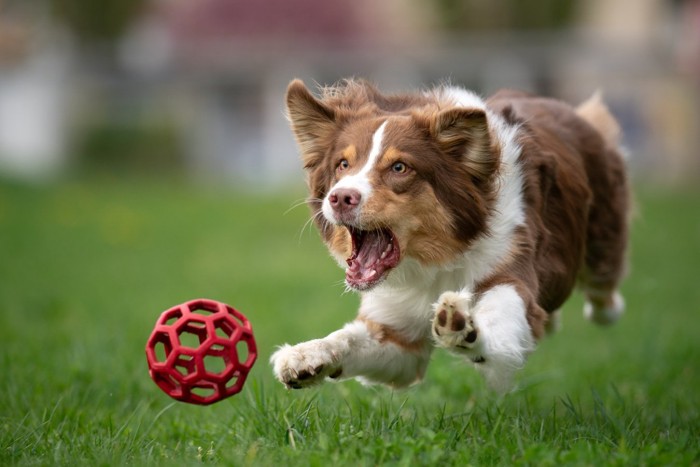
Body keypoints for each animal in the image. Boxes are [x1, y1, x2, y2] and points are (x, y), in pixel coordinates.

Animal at [270, 78, 628, 394]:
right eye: (343, 164)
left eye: (399, 168)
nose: (341, 197)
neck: (440, 258)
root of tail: (567, 109)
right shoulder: (398, 338)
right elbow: (348, 338)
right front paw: (304, 355)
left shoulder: (512, 271)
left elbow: (501, 318)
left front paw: (464, 327)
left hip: (602, 246)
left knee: (603, 296)